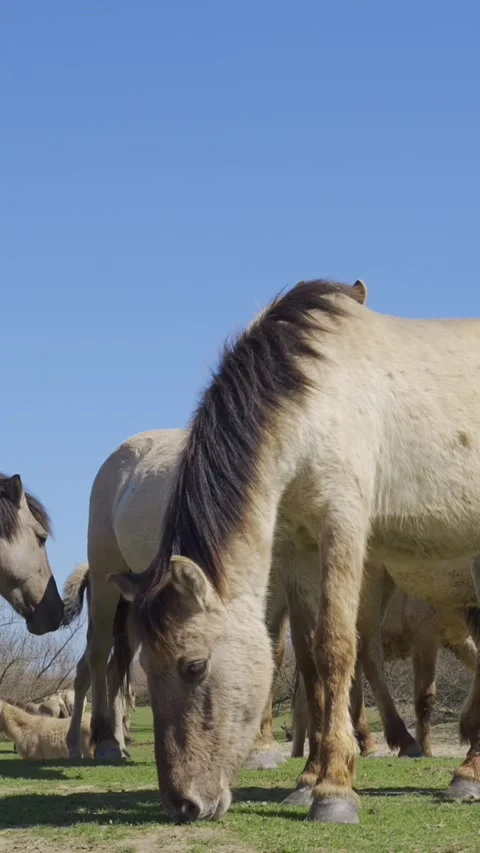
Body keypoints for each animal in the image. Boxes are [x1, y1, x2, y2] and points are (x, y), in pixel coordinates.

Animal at [108, 278, 480, 824]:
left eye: (194, 666)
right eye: (147, 669)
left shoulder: (342, 526)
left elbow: (336, 647)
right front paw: (309, 780)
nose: (183, 804)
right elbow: (308, 661)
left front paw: (335, 790)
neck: (313, 395)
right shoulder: (301, 544)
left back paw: (467, 771)